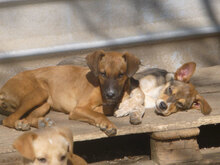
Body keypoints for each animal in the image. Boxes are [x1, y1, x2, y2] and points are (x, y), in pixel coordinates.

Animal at [0, 50, 140, 135]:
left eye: (121, 75)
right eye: (103, 74)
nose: (110, 94)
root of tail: (3, 88)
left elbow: (104, 110)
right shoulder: (77, 109)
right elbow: (98, 114)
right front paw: (107, 124)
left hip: (45, 103)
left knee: (28, 117)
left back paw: (41, 123)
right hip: (39, 93)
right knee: (8, 119)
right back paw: (20, 124)